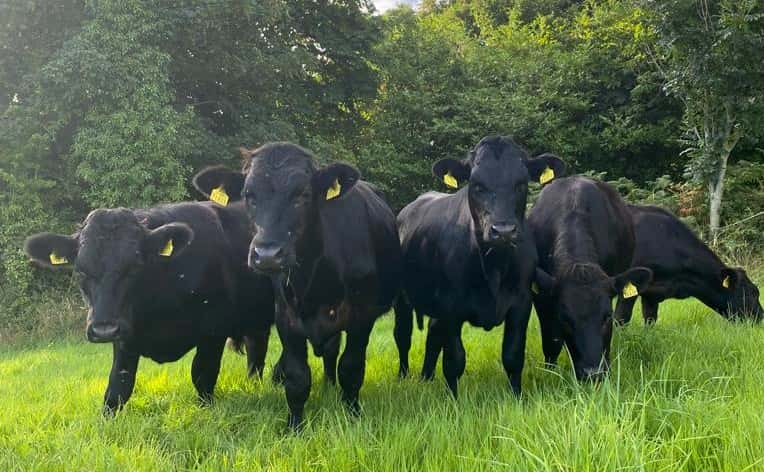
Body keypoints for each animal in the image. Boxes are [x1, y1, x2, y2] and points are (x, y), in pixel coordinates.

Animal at [24, 201, 275, 414]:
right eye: (80, 270)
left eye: (135, 267)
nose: (103, 329)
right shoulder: (124, 338)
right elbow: (118, 387)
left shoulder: (214, 332)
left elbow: (202, 375)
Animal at [192, 142, 402, 430]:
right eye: (248, 195)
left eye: (302, 194)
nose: (267, 254)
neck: (316, 280)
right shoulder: (286, 318)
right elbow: (297, 377)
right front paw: (294, 425)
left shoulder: (362, 316)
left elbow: (351, 368)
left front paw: (352, 414)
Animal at [394, 136, 566, 398]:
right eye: (476, 185)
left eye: (521, 183)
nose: (503, 231)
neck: (494, 266)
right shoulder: (450, 306)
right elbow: (454, 359)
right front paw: (453, 400)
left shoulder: (521, 301)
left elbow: (513, 354)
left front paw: (517, 396)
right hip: (402, 298)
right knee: (403, 335)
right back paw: (404, 376)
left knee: (433, 335)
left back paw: (427, 377)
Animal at [529, 176, 653, 381]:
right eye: (565, 319)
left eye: (607, 316)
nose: (593, 373)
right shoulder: (542, 299)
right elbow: (551, 342)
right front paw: (550, 373)